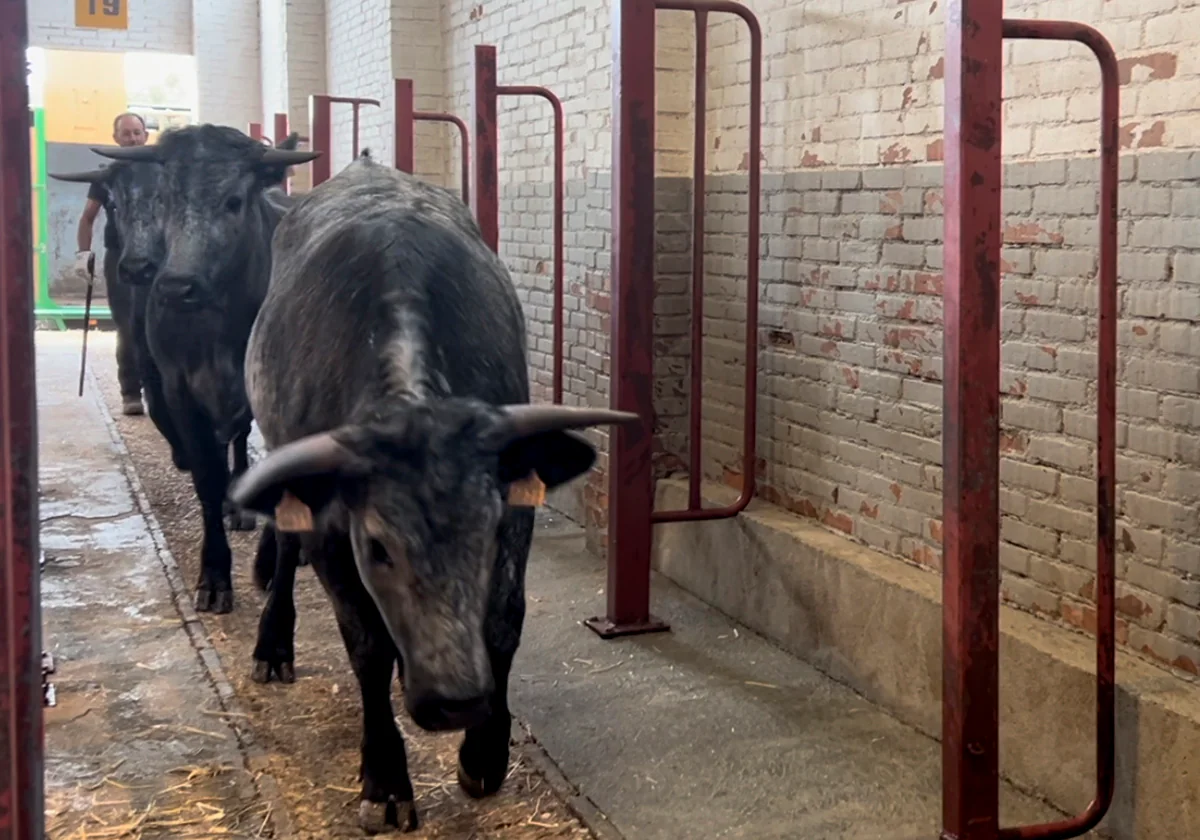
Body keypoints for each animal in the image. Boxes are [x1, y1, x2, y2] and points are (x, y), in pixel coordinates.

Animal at [90, 124, 316, 614]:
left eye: (234, 200)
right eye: (165, 201)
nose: (176, 286)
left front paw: (268, 562)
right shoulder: (179, 391)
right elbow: (207, 479)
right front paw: (214, 574)